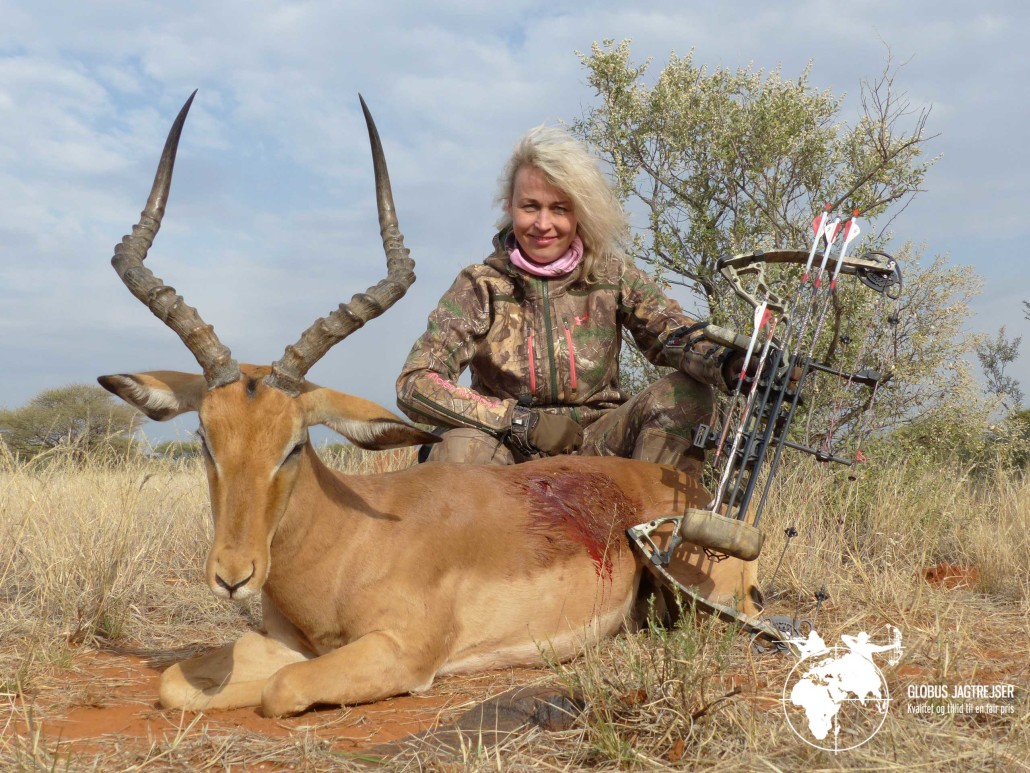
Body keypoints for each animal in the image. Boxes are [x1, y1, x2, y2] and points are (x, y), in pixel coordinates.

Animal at [98, 93, 762, 717]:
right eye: (206, 440)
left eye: (293, 445)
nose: (233, 575)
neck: (352, 537)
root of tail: (698, 495)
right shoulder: (287, 643)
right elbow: (175, 683)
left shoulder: (401, 654)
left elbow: (279, 690)